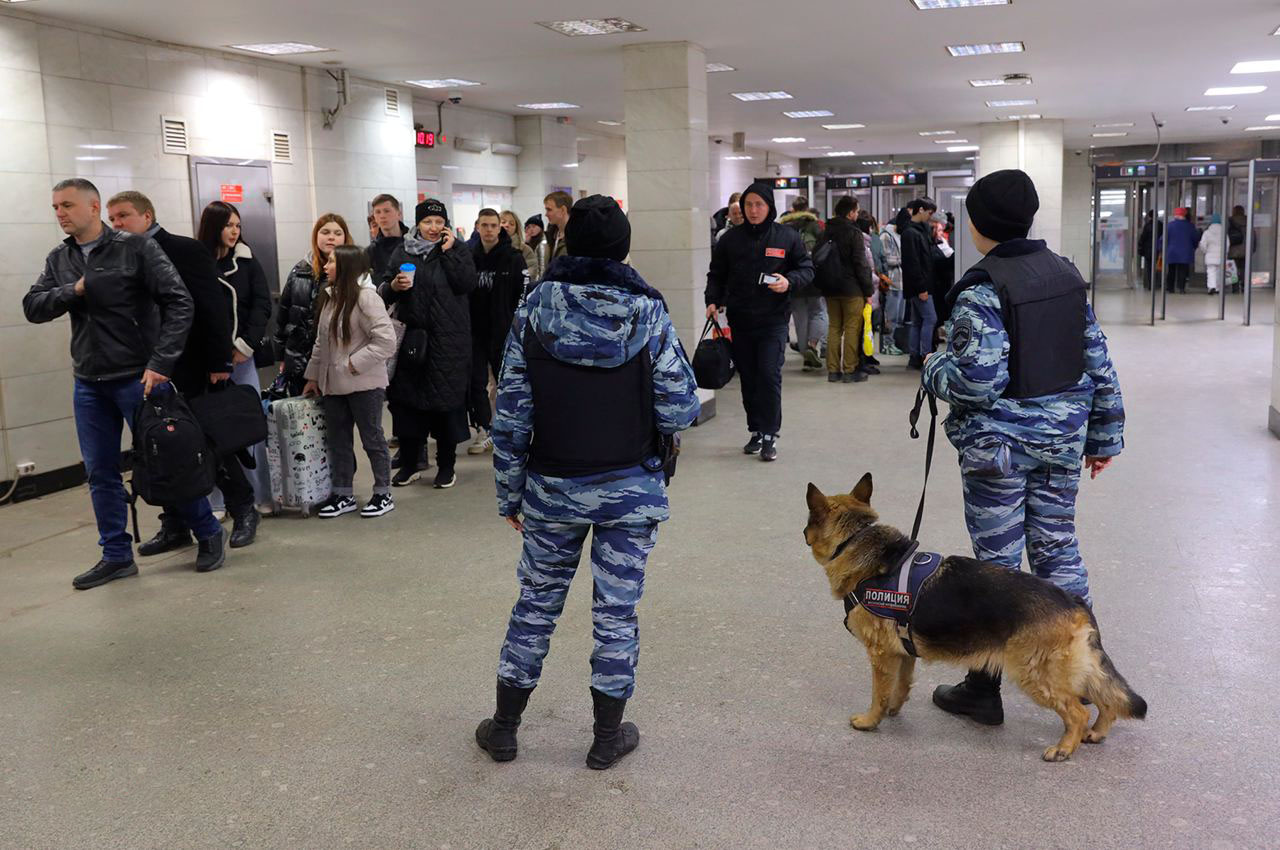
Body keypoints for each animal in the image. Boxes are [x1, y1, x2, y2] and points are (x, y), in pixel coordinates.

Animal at [798, 473, 1152, 757]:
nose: (801, 533)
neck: (855, 541)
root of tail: (1072, 600)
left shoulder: (881, 655)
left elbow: (879, 692)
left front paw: (871, 720)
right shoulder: (903, 653)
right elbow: (901, 685)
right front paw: (894, 709)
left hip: (1035, 674)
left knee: (1077, 712)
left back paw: (1065, 748)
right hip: (1070, 668)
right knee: (1107, 699)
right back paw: (1096, 732)